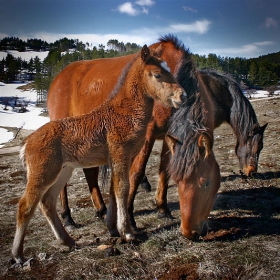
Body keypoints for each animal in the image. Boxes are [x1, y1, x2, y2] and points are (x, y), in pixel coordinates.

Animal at [12, 44, 186, 264]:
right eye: (157, 74)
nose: (182, 96)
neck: (123, 112)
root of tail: (27, 143)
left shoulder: (121, 158)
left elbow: (114, 189)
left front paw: (113, 229)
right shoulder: (120, 154)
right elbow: (122, 188)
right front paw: (127, 232)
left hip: (62, 171)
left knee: (47, 202)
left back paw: (67, 241)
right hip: (42, 173)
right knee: (25, 206)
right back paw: (18, 255)